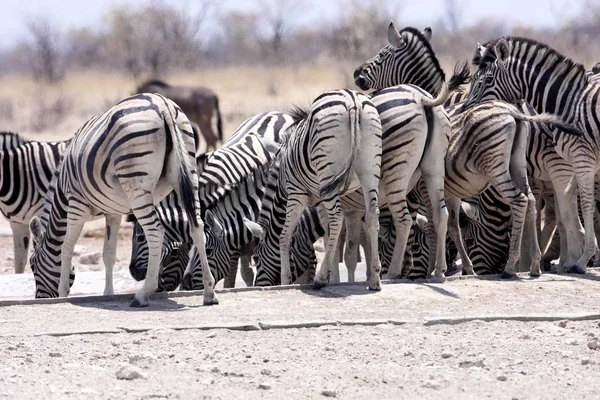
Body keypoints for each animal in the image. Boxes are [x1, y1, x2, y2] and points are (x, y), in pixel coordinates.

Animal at [28, 93, 217, 306]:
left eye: (33, 265)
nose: (38, 299)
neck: (61, 192)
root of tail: (162, 105)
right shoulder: (113, 212)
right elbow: (108, 254)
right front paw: (108, 294)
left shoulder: (76, 203)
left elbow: (66, 247)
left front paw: (62, 294)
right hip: (188, 175)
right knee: (197, 226)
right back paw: (209, 292)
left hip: (137, 185)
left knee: (155, 231)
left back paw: (143, 295)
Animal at [464, 36, 600, 276]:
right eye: (472, 82)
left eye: (487, 80)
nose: (467, 110)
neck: (567, 102)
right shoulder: (561, 167)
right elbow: (555, 208)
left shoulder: (574, 161)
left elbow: (578, 207)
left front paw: (578, 260)